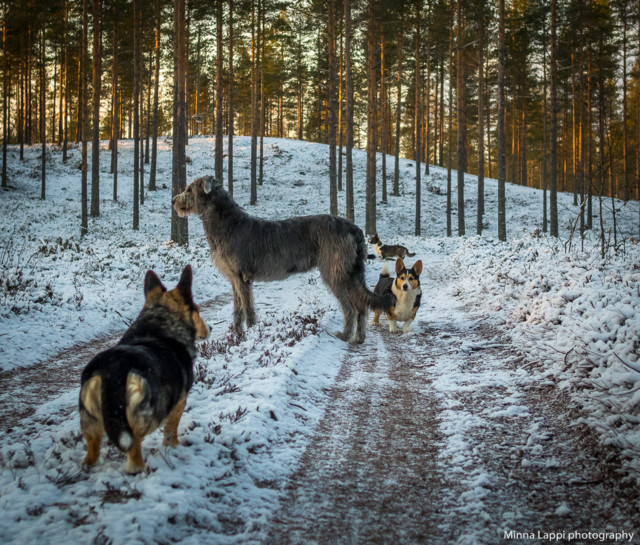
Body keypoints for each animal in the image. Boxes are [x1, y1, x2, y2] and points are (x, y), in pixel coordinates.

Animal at [77, 266, 208, 474]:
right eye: (197, 310)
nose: (208, 329)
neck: (158, 322)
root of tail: (113, 370)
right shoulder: (179, 402)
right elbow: (171, 430)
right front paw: (173, 447)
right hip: (147, 415)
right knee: (135, 446)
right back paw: (139, 468)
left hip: (90, 420)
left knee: (92, 452)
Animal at [172, 176, 392, 342]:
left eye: (189, 189)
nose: (173, 200)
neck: (227, 224)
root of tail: (354, 228)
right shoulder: (234, 279)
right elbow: (238, 308)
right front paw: (235, 332)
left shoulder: (243, 277)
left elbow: (248, 308)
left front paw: (250, 333)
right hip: (351, 273)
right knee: (362, 306)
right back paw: (359, 338)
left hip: (335, 272)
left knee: (351, 308)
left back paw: (345, 335)